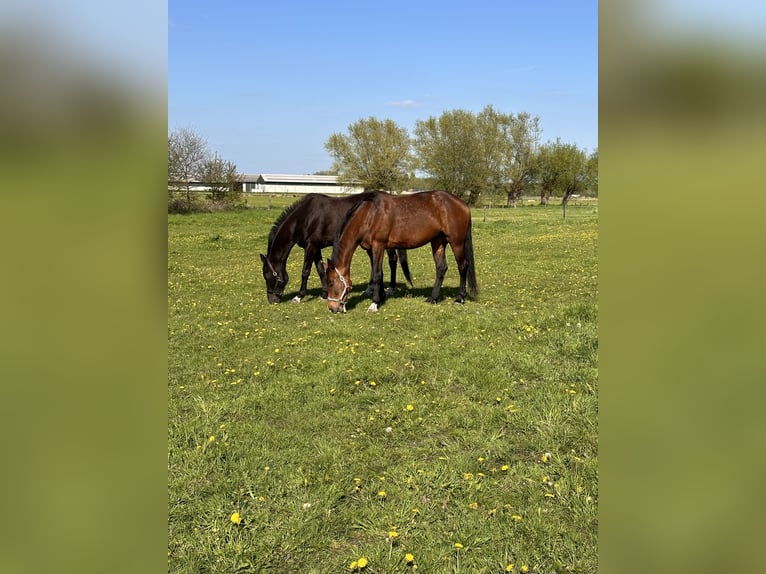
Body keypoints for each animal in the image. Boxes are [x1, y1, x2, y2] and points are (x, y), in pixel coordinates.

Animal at [260, 194, 414, 304]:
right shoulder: (316, 247)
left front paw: (299, 296)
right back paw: (369, 289)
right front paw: (324, 294)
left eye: (268, 275)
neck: (304, 217)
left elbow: (305, 271)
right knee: (375, 264)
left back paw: (391, 289)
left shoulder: (311, 246)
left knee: (392, 261)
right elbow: (320, 270)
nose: (272, 300)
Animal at [326, 191, 480, 312]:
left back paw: (459, 298)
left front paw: (375, 303)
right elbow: (379, 273)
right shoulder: (370, 249)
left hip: (456, 242)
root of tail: (463, 204)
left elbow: (376, 274)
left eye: (331, 283)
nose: (332, 308)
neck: (369, 215)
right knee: (441, 268)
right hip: (438, 242)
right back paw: (433, 298)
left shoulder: (378, 245)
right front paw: (381, 297)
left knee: (463, 266)